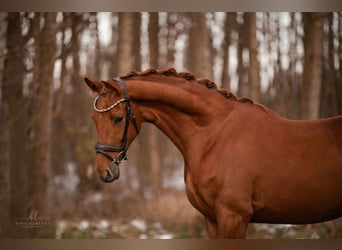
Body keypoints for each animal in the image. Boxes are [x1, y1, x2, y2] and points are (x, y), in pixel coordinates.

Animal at [83, 68, 342, 238]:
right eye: (94, 119)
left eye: (118, 118)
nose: (104, 171)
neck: (214, 134)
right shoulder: (211, 218)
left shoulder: (234, 217)